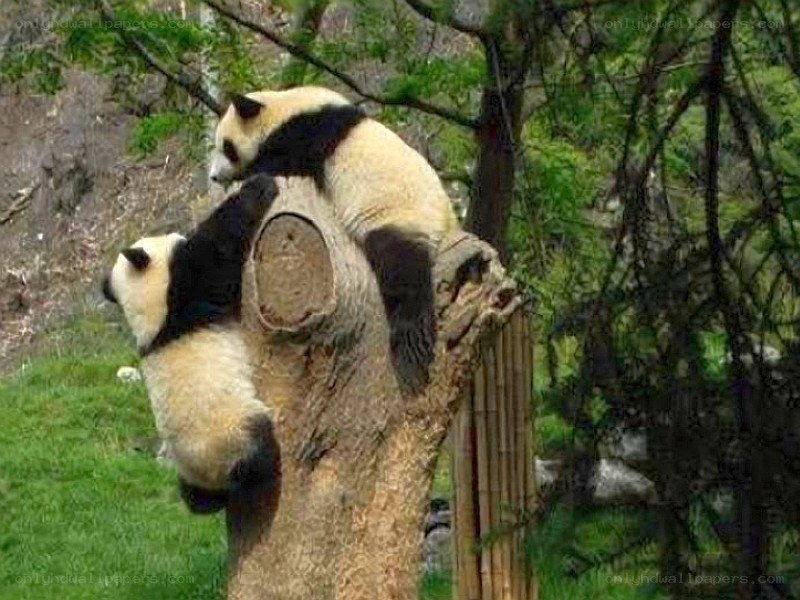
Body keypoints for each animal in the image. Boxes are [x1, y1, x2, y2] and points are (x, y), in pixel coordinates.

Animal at [102, 174, 280, 514]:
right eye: (175, 237)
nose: (178, 231)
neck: (155, 325)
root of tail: (215, 477)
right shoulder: (189, 289)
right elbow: (218, 244)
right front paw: (260, 185)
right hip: (230, 432)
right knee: (259, 454)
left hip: (191, 469)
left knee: (195, 500)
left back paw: (202, 501)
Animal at [209, 85, 459, 391]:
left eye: (227, 147)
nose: (214, 176)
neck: (286, 106)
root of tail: (449, 225)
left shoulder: (306, 136)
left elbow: (278, 164)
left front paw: (247, 175)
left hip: (399, 215)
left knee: (403, 272)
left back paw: (411, 349)